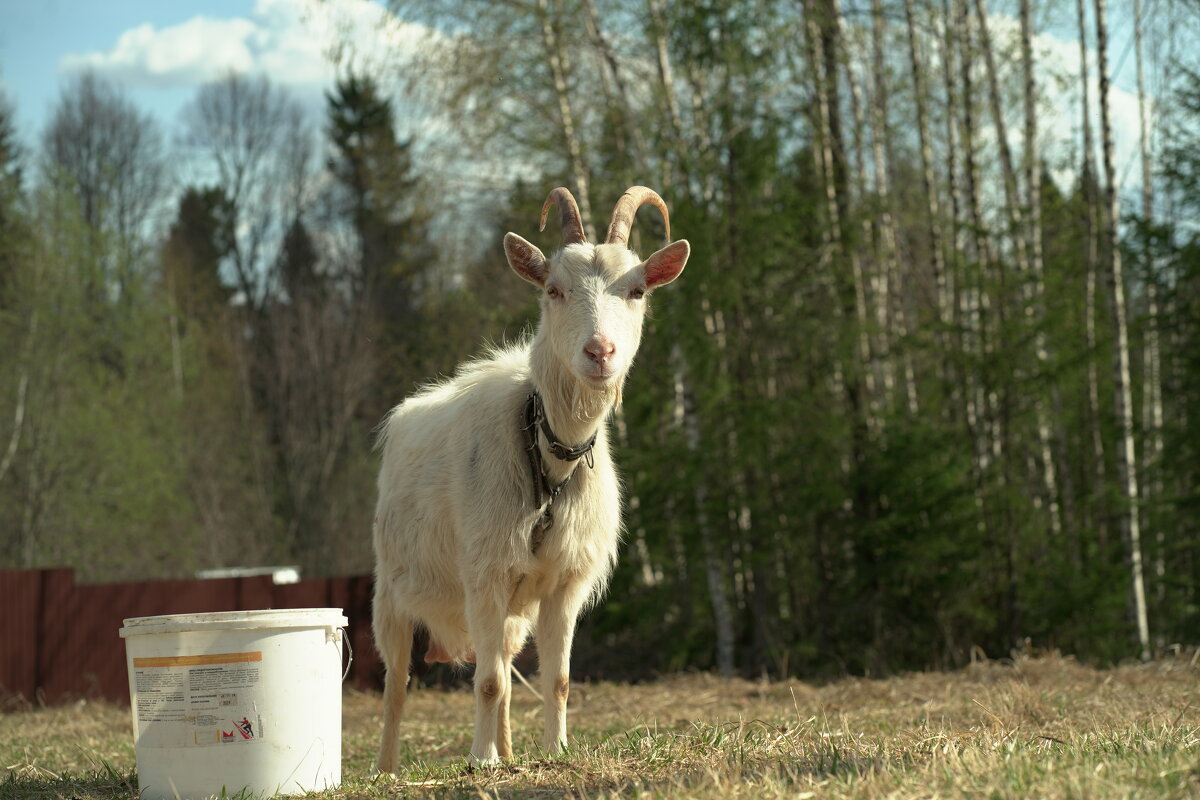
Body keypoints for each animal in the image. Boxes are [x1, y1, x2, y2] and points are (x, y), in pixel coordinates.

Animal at [369, 185, 691, 767]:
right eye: (553, 290)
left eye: (636, 290)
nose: (600, 352)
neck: (548, 455)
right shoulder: (484, 574)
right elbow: (487, 682)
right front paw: (480, 760)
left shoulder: (564, 583)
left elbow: (554, 680)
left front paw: (555, 749)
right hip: (392, 591)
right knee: (397, 686)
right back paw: (388, 769)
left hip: (515, 611)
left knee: (503, 670)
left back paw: (511, 749)